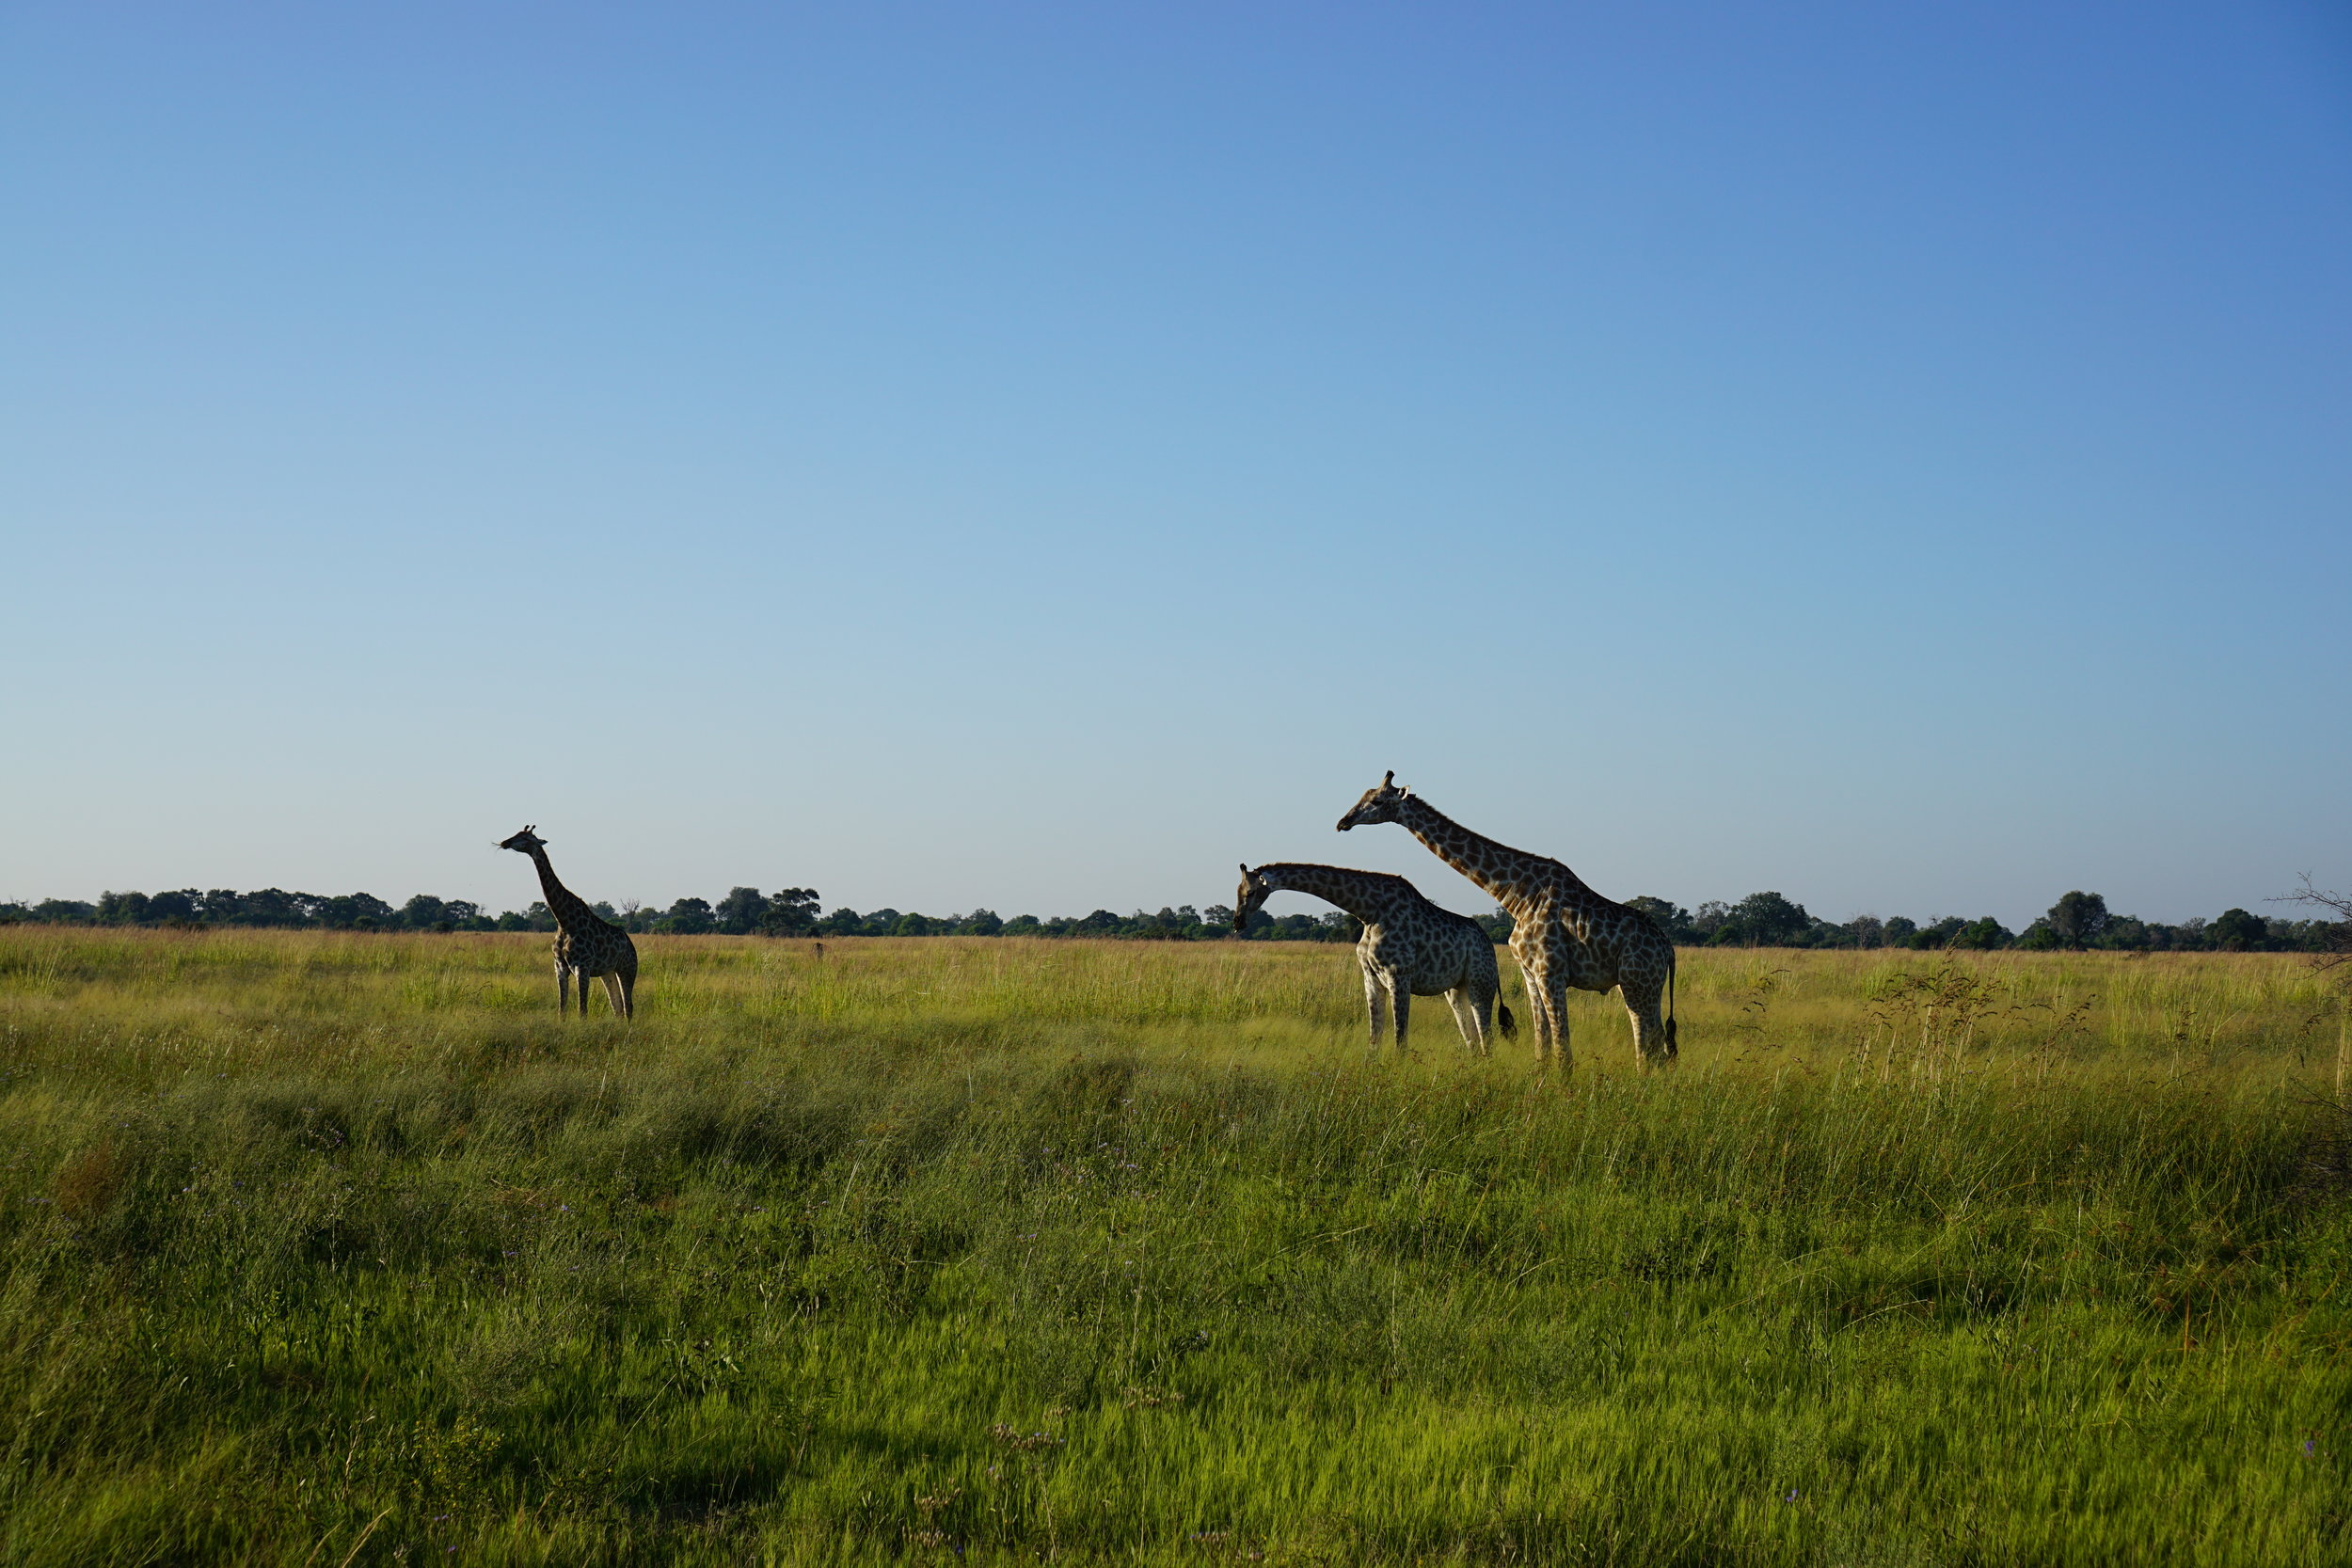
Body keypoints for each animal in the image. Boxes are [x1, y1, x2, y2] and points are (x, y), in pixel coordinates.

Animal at [497, 826, 637, 1019]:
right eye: (516, 833)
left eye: (525, 838)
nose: (505, 842)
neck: (564, 921)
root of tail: (631, 946)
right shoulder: (560, 967)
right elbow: (561, 1010)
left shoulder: (582, 967)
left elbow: (582, 1011)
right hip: (608, 972)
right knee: (618, 1008)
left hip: (627, 969)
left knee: (628, 1007)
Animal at [1234, 862, 1517, 1054]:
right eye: (1237, 891)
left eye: (1250, 892)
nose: (1237, 922)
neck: (1369, 912)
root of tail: (1489, 945)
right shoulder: (1370, 976)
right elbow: (1374, 1037)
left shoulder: (1398, 974)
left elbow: (1400, 1039)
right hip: (1457, 989)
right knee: (1472, 1040)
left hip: (1481, 984)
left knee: (1486, 1038)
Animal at [1336, 774, 1677, 1072]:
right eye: (1363, 795)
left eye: (1378, 801)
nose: (1343, 822)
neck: (1519, 896)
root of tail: (1668, 949)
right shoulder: (1530, 974)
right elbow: (1542, 1044)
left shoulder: (1551, 972)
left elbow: (1562, 1047)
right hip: (1647, 985)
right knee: (1657, 1042)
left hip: (1636, 982)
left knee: (1648, 1042)